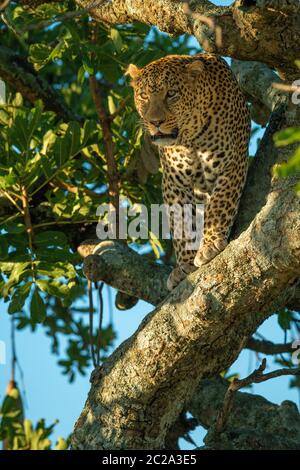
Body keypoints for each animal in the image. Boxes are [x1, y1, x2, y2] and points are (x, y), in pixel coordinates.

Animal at [126, 54, 251, 290]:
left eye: (171, 93)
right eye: (144, 96)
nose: (155, 122)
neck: (191, 138)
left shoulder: (232, 163)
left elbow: (219, 205)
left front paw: (210, 245)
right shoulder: (173, 182)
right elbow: (181, 224)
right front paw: (184, 265)